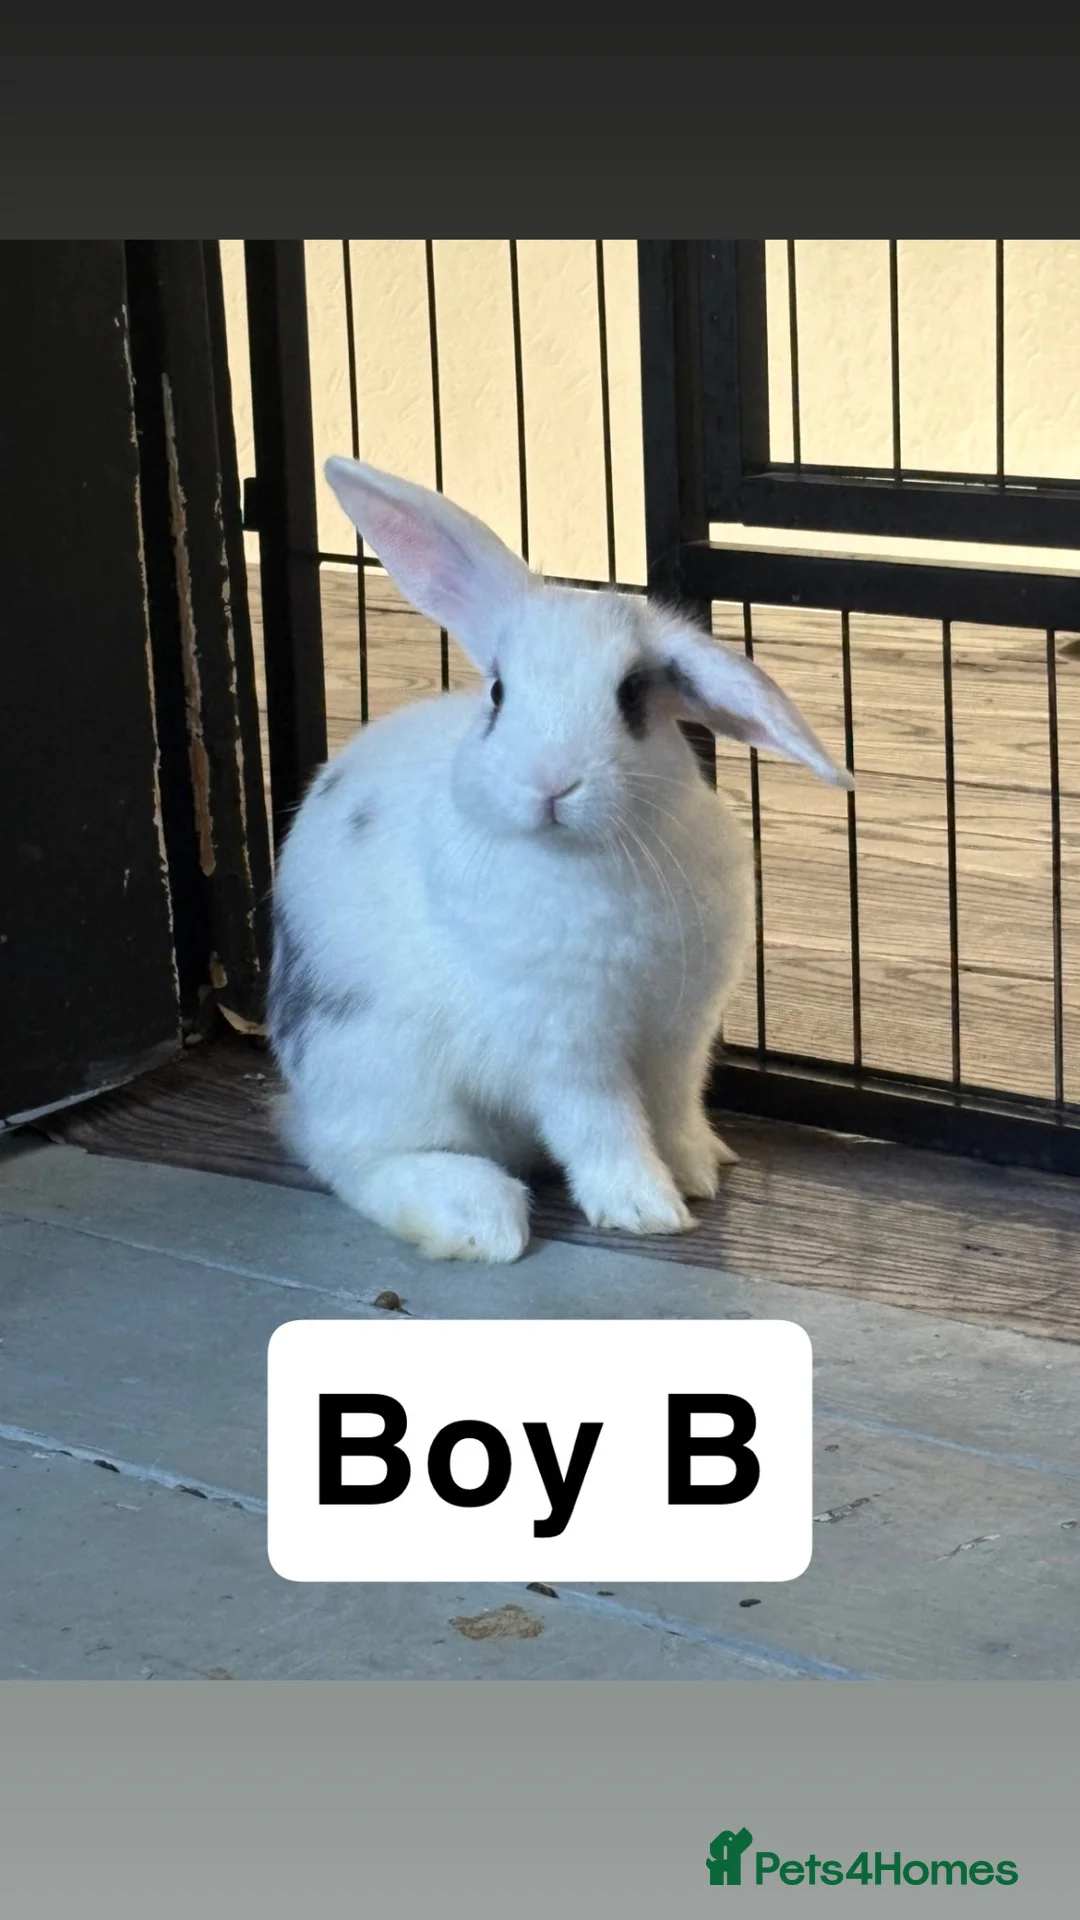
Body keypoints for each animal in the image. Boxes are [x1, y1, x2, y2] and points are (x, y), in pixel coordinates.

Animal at [267, 456, 852, 1264]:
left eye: (632, 695)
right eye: (498, 693)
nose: (552, 782)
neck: (585, 857)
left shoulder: (678, 1034)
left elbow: (673, 1111)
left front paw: (699, 1171)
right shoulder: (565, 1044)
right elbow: (601, 1126)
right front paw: (645, 1208)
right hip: (383, 1071)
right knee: (353, 1160)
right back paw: (478, 1217)